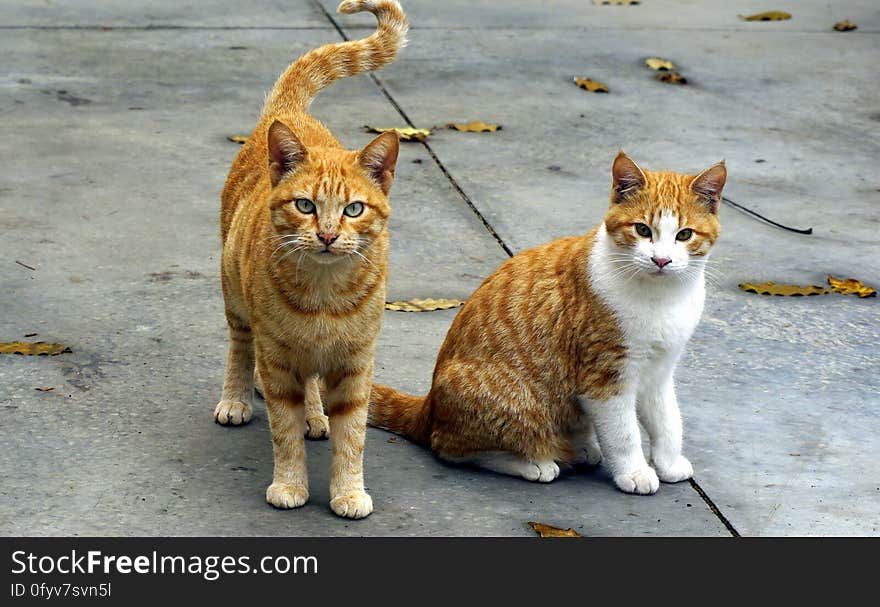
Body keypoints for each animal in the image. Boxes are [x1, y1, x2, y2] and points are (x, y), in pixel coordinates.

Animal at [213, 1, 410, 524]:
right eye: (305, 205)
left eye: (353, 209)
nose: (326, 235)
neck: (324, 292)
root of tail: (288, 113)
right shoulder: (279, 361)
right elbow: (283, 434)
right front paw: (289, 484)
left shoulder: (356, 364)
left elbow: (352, 438)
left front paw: (348, 490)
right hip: (234, 297)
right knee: (240, 348)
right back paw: (237, 397)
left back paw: (317, 415)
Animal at [372, 153, 720, 494]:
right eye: (643, 230)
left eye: (684, 235)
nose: (661, 260)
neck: (661, 297)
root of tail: (429, 406)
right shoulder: (604, 378)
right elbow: (624, 433)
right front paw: (634, 471)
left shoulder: (658, 372)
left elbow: (668, 422)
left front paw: (668, 464)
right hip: (516, 404)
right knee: (450, 448)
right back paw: (534, 463)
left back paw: (579, 447)